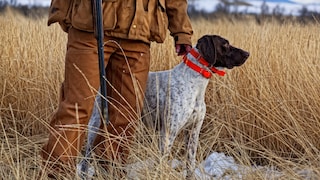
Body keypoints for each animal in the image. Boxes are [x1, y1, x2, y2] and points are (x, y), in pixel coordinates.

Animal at [78, 34, 250, 179]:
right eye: (225, 44)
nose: (247, 53)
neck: (195, 85)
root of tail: (105, 80)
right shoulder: (167, 133)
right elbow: (162, 162)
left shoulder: (193, 132)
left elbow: (190, 162)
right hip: (94, 125)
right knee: (86, 158)